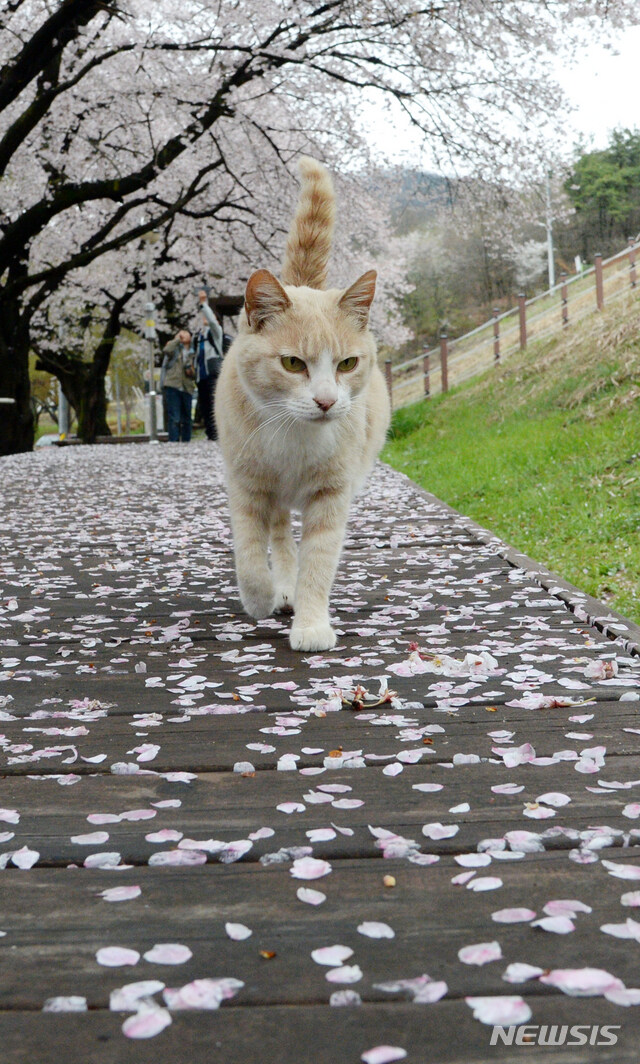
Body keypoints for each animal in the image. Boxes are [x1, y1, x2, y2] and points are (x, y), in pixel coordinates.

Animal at [215, 155, 389, 646]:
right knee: (277, 536)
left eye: (347, 363)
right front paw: (261, 597)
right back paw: (280, 589)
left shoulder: (331, 494)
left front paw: (310, 624)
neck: (295, 438)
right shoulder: (247, 486)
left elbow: (317, 563)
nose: (327, 401)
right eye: (293, 363)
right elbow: (250, 553)